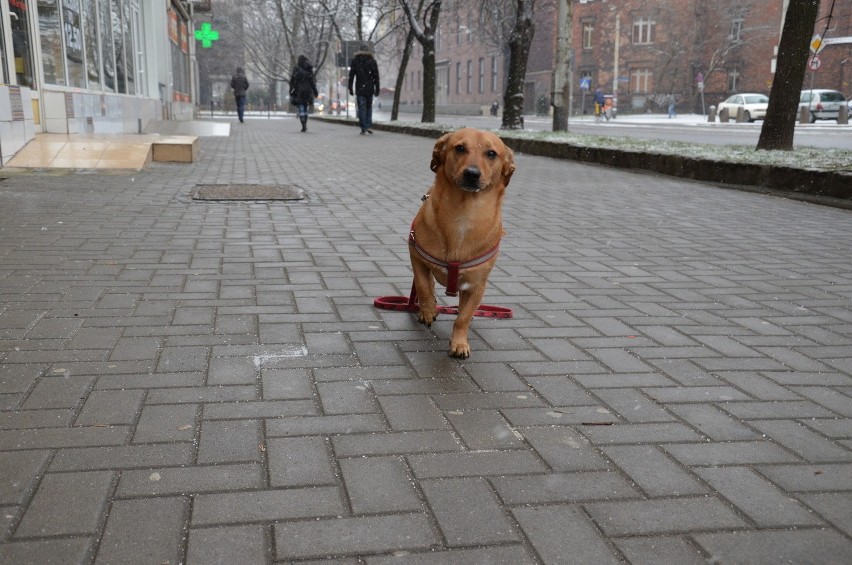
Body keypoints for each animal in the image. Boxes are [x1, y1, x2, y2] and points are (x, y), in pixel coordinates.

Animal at [410, 128, 516, 356]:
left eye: (491, 154)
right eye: (460, 148)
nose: (472, 173)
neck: (464, 214)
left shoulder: (477, 285)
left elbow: (463, 317)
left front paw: (459, 343)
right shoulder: (416, 256)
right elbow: (422, 286)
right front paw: (428, 309)